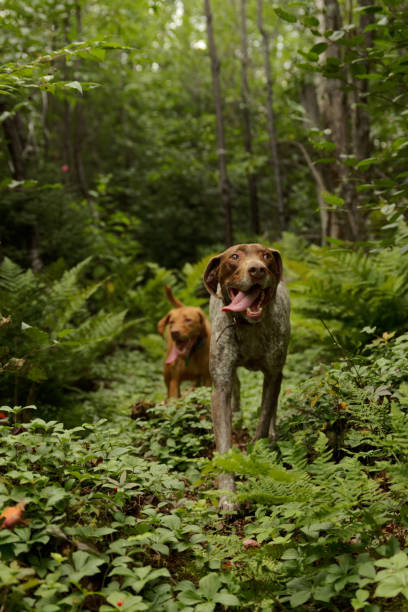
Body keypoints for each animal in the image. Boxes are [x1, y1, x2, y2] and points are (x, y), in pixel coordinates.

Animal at [202, 241, 288, 510]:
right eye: (235, 257)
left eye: (266, 256)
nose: (257, 270)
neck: (249, 327)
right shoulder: (220, 387)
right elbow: (224, 445)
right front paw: (228, 496)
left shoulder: (272, 374)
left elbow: (262, 422)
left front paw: (256, 459)